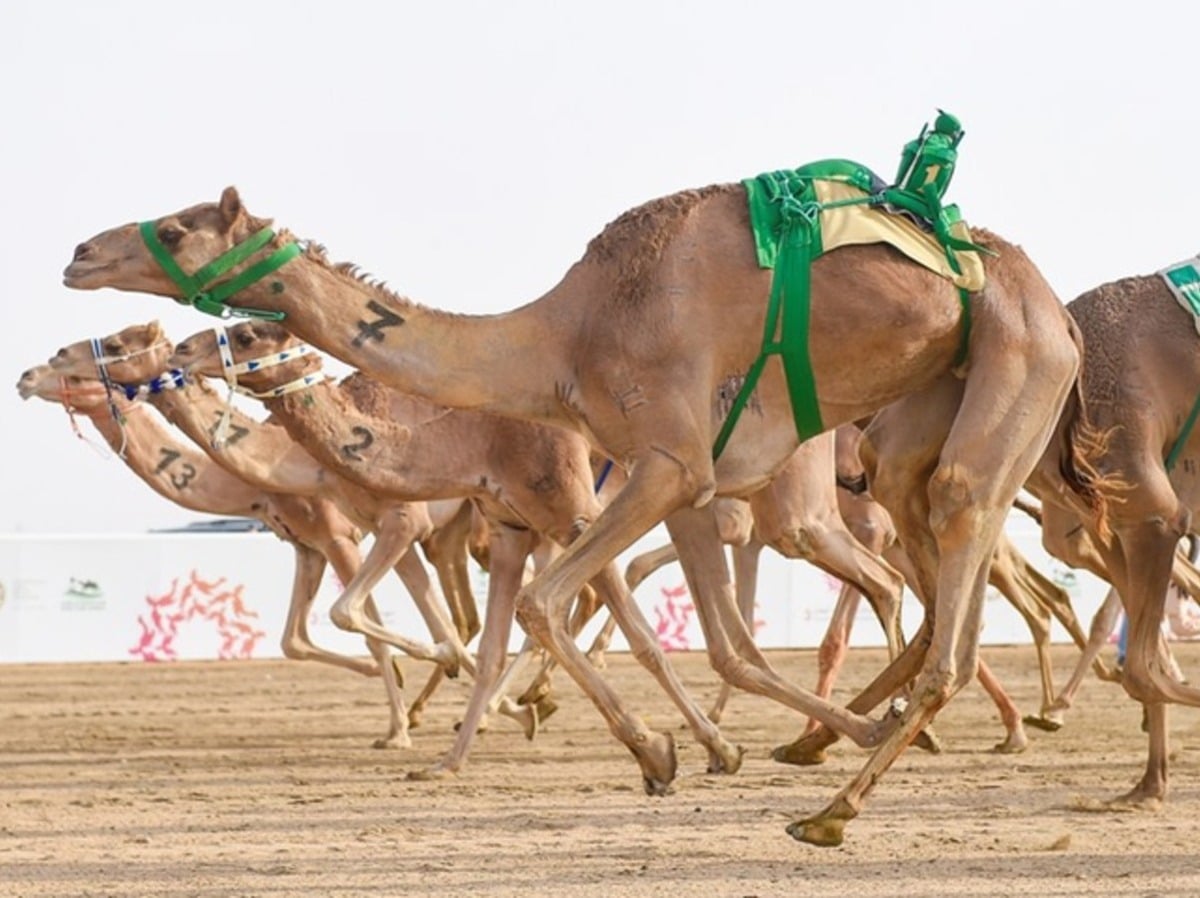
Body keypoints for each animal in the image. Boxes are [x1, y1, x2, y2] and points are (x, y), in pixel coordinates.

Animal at [15, 361, 419, 747]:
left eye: (75, 373)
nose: (26, 377)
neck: (256, 483)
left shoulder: (339, 536)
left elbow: (365, 630)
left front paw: (396, 731)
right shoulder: (307, 545)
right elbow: (293, 639)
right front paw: (389, 681)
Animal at [63, 179, 1097, 845]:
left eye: (181, 227)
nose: (79, 251)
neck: (560, 336)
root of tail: (1057, 305)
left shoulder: (664, 463)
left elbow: (552, 605)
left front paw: (657, 749)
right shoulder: (685, 482)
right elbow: (719, 643)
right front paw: (680, 749)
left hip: (1014, 357)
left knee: (955, 540)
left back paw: (841, 805)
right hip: (916, 417)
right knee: (924, 542)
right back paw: (868, 742)